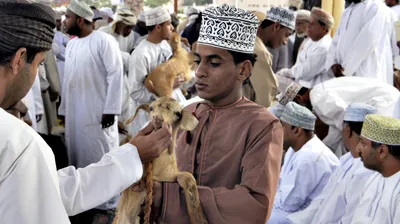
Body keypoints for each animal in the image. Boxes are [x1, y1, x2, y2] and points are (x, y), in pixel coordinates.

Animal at [111, 96, 206, 224]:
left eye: (177, 113)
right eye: (151, 108)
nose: (158, 119)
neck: (157, 173)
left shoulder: (171, 176)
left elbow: (188, 177)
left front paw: (200, 219)